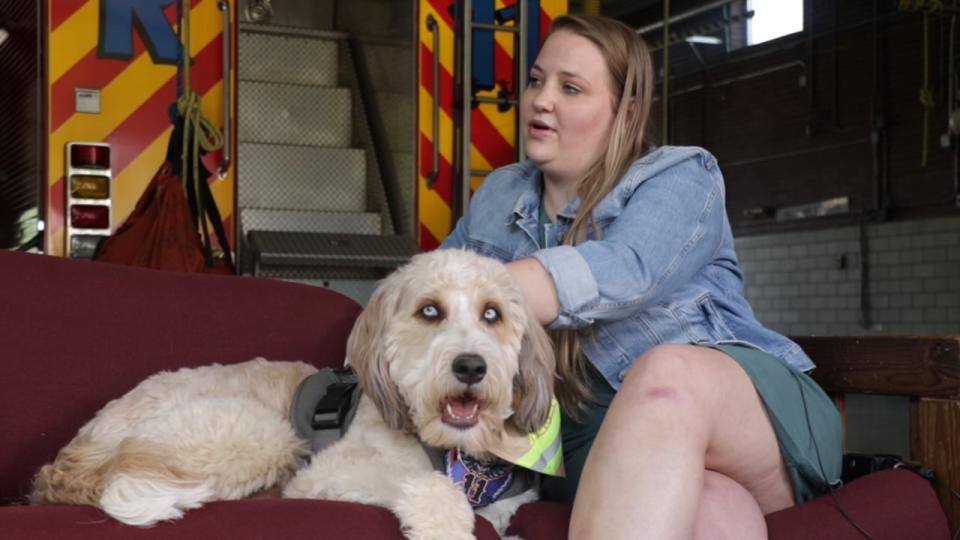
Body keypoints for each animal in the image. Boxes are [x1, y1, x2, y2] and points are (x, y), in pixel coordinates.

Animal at [30, 250, 556, 540]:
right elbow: (427, 484)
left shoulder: (508, 502)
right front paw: (446, 525)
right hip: (261, 432)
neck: (453, 451)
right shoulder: (329, 473)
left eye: (492, 314)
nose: (471, 365)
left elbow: (501, 514)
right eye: (430, 311)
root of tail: (74, 456)